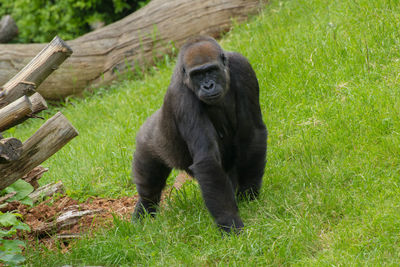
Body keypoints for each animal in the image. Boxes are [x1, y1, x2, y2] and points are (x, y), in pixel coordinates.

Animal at [133, 36, 268, 234]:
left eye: (211, 70)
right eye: (197, 74)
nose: (208, 86)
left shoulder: (242, 66)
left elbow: (252, 133)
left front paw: (248, 194)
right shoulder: (182, 97)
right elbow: (207, 158)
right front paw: (229, 221)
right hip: (148, 142)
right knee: (150, 187)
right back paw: (142, 213)